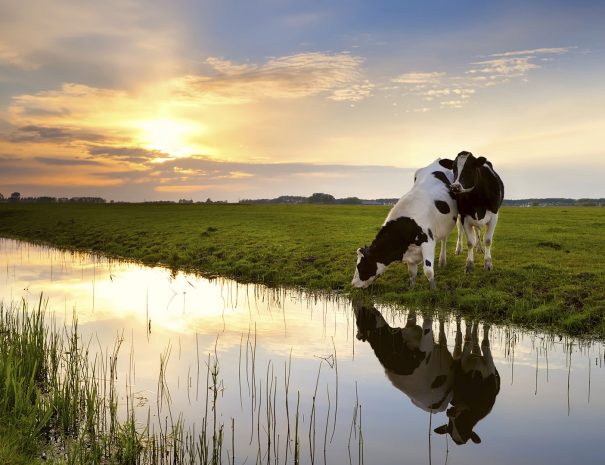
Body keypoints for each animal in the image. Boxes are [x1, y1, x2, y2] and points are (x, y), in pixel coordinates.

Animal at [350, 160, 458, 290]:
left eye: (360, 266)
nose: (353, 284)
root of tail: (439, 160)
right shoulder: (410, 254)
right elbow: (412, 273)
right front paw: (411, 288)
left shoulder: (427, 241)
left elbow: (428, 270)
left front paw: (433, 289)